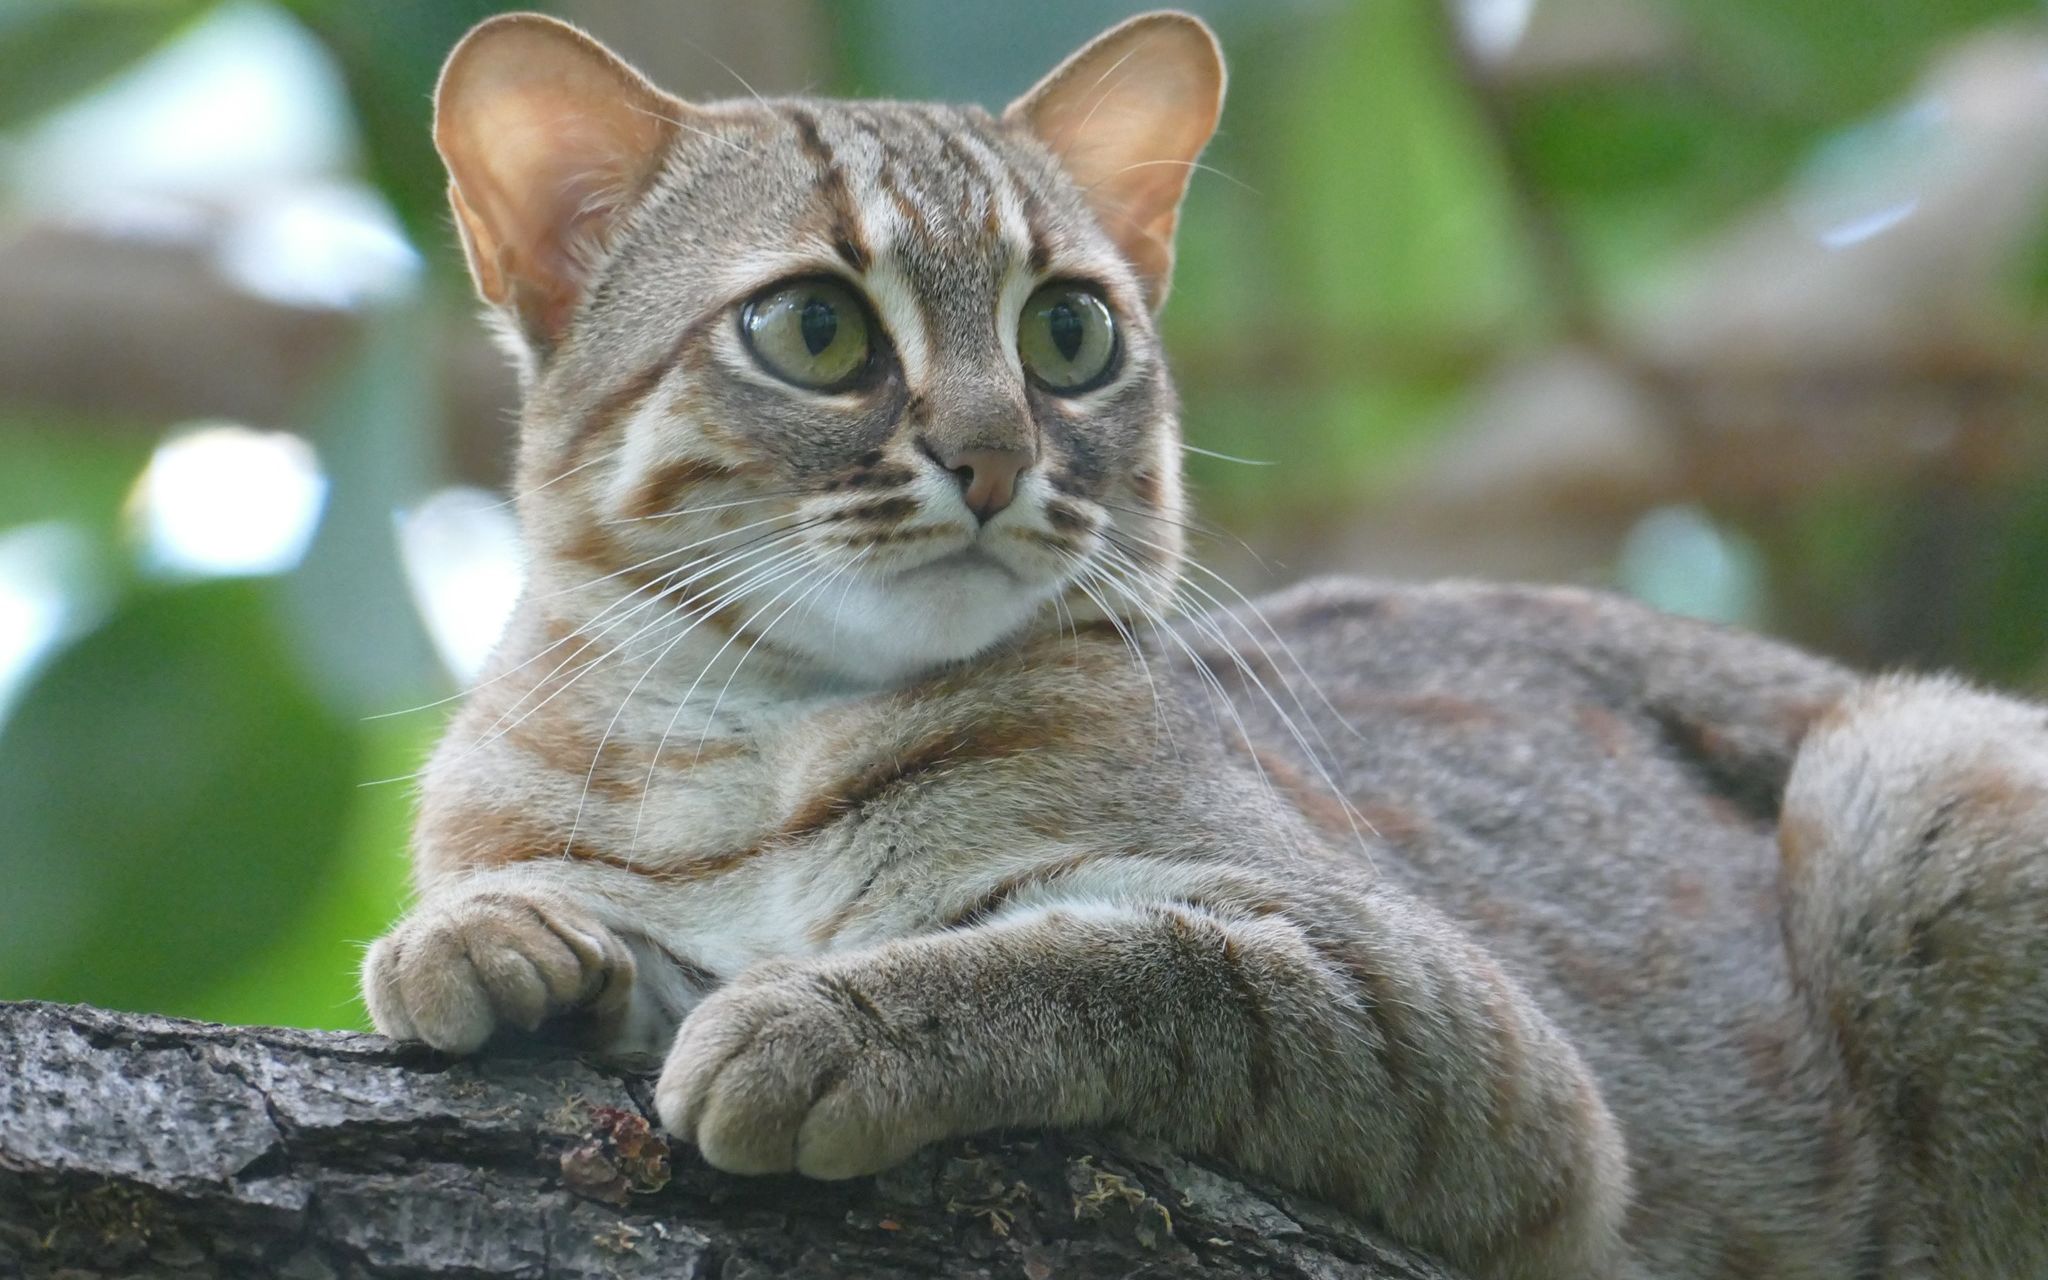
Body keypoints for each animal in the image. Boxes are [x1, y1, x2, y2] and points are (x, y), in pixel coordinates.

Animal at [360, 12, 2048, 1277]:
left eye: (1069, 334)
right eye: (818, 330)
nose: (993, 457)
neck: (757, 747)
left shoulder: (1468, 1049)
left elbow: (1124, 964)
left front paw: (830, 1016)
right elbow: (585, 923)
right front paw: (501, 940)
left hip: (1912, 794)